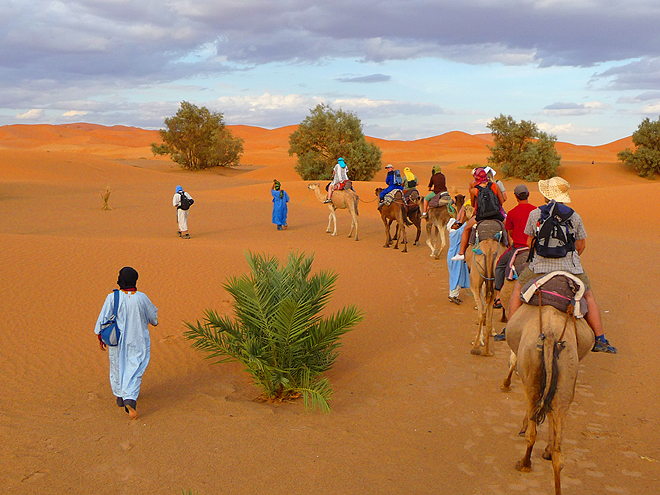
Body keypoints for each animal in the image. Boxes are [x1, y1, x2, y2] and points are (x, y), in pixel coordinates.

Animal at [500, 304, 592, 495]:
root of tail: (550, 336)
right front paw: (547, 450)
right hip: (567, 369)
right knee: (559, 446)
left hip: (531, 364)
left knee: (532, 429)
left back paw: (524, 463)